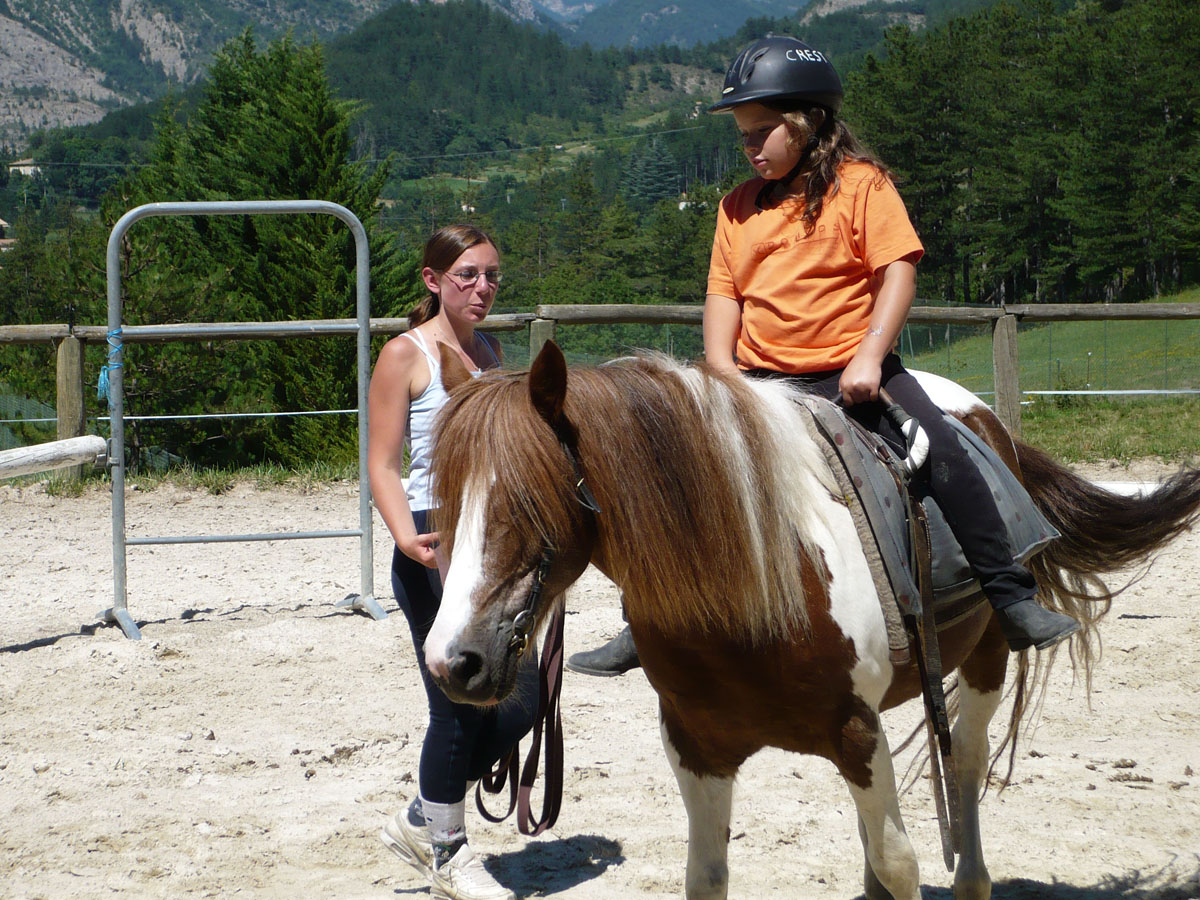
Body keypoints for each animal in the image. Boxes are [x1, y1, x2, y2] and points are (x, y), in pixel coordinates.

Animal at [420, 343, 1200, 900]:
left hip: (983, 665)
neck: (756, 585)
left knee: (964, 776)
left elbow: (901, 864)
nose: (454, 661)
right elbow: (708, 877)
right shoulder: (697, 748)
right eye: (445, 501)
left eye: (530, 499)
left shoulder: (857, 732)